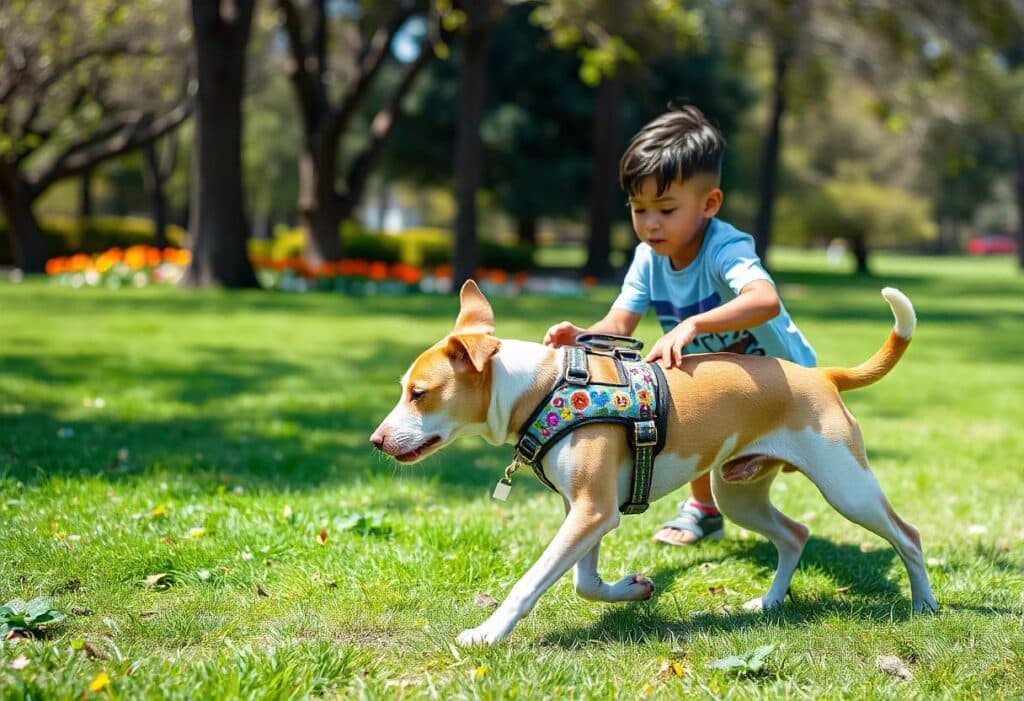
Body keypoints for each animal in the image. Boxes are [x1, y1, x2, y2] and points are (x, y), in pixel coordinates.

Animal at [372, 278, 937, 646]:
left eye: (419, 394)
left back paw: (924, 605)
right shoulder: (587, 511)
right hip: (739, 494)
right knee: (795, 534)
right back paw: (769, 602)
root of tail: (821, 376)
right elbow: (583, 582)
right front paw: (632, 588)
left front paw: (487, 633)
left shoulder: (592, 511)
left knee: (907, 535)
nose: (377, 440)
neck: (543, 387)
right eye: (403, 389)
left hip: (847, 486)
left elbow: (531, 582)